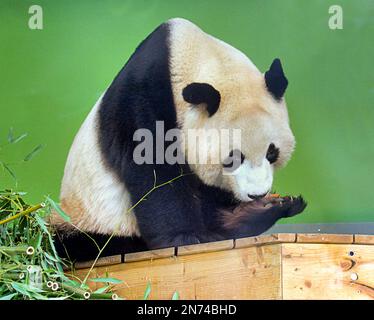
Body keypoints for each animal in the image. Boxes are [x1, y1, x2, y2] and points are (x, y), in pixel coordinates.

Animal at [52, 18, 308, 262]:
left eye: (272, 153)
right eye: (233, 158)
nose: (257, 194)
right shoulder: (140, 103)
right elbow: (154, 172)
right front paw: (184, 238)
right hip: (86, 219)